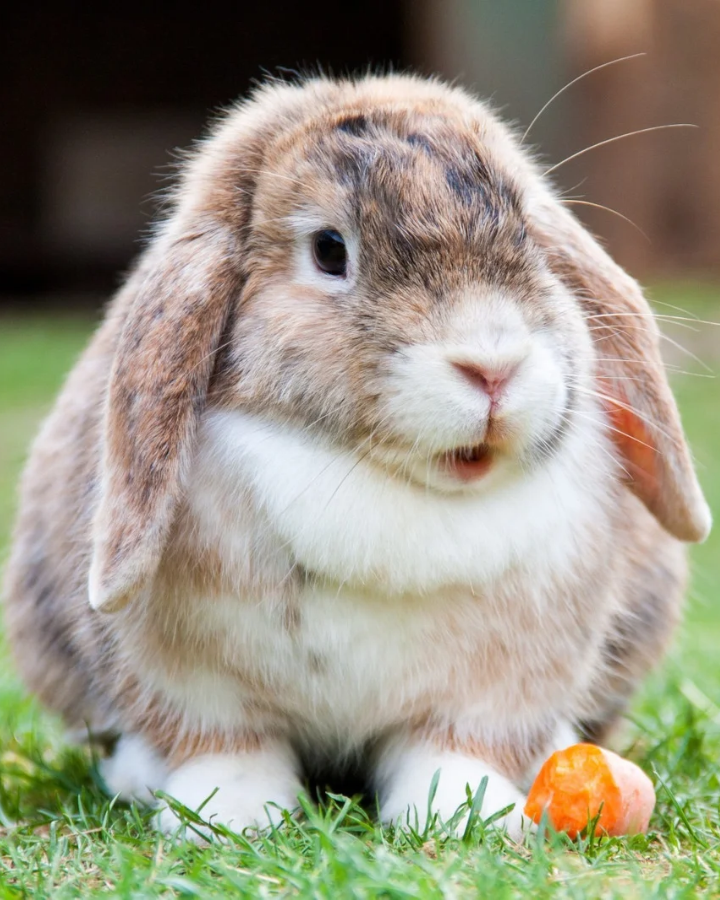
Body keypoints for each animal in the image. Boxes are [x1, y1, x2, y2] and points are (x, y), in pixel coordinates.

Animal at [3, 73, 710, 841]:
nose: (493, 367)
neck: (385, 483)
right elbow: (226, 746)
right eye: (329, 251)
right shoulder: (193, 686)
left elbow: (454, 749)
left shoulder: (495, 689)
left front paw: (464, 816)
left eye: (527, 232)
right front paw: (230, 817)